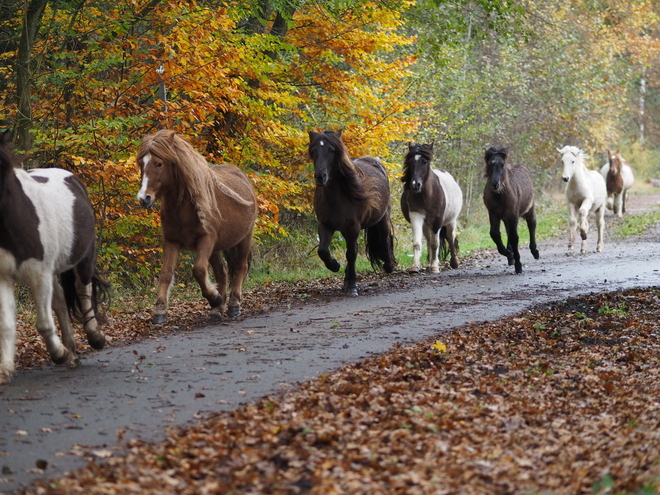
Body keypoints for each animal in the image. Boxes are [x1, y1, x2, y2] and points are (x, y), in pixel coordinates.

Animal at [0, 132, 107, 384]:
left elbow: (43, 323)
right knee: (59, 298)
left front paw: (58, 354)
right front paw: (5, 369)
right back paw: (71, 349)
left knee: (82, 290)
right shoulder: (4, 276)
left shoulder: (39, 274)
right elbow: (7, 324)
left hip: (83, 259)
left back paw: (94, 338)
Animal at [135, 130, 256, 324]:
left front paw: (214, 298)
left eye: (159, 163)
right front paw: (160, 310)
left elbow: (198, 270)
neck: (184, 209)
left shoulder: (206, 239)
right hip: (217, 248)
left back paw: (233, 304)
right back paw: (217, 310)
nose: (143, 198)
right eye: (141, 164)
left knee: (240, 267)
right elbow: (166, 273)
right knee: (221, 273)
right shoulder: (171, 241)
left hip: (244, 238)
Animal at [306, 130, 394, 296]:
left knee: (384, 238)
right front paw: (335, 265)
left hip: (382, 218)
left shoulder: (353, 228)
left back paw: (389, 265)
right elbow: (323, 251)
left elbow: (351, 254)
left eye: (332, 151)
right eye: (313, 152)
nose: (320, 177)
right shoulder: (325, 225)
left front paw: (352, 285)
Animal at [482, 146, 540, 276]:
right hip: (505, 218)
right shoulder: (493, 214)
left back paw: (534, 252)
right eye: (489, 163)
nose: (495, 184)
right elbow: (494, 233)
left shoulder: (513, 215)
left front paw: (518, 265)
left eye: (502, 164)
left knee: (532, 225)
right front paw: (508, 253)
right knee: (508, 231)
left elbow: (514, 237)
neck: (500, 196)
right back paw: (510, 256)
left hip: (529, 209)